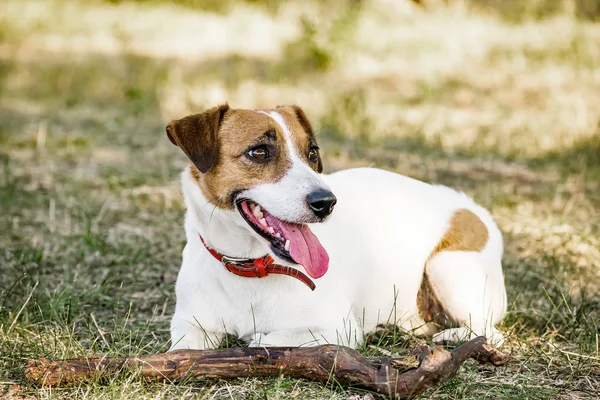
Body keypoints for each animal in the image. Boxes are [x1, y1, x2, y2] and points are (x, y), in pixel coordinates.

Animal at [166, 104, 508, 350]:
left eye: (312, 153)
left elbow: (268, 339)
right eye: (259, 151)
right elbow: (183, 350)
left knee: (489, 331)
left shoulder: (337, 329)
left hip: (447, 266)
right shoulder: (189, 324)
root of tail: (470, 206)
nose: (326, 202)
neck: (249, 267)